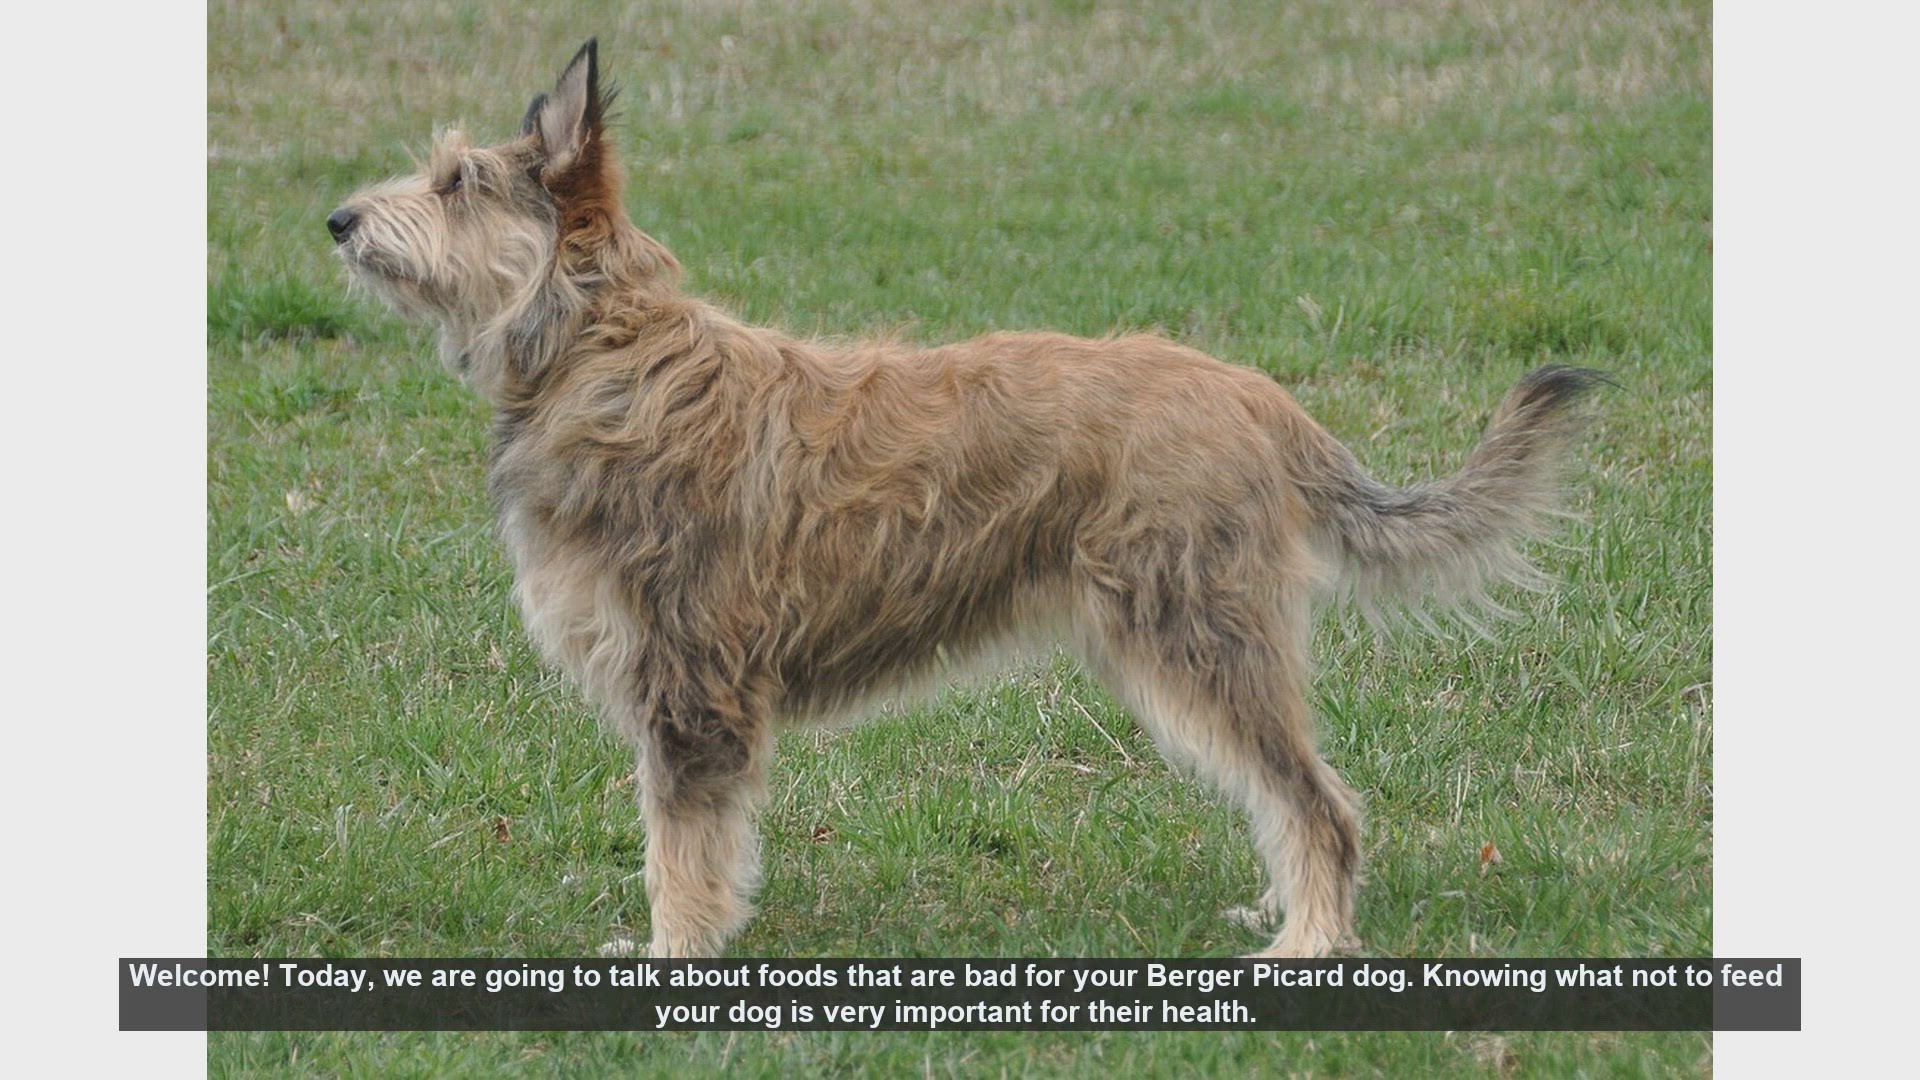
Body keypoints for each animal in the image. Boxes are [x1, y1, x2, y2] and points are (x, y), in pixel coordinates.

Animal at [329, 40, 1599, 958]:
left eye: (455, 183)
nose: (338, 220)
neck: (606, 349)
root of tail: (1259, 400)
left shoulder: (690, 685)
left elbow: (680, 850)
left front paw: (674, 956)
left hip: (1200, 637)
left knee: (1317, 803)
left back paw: (1308, 943)